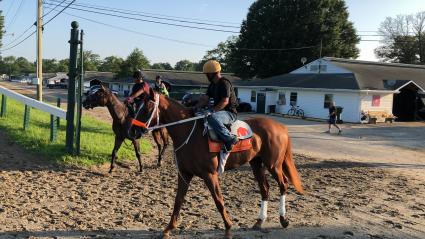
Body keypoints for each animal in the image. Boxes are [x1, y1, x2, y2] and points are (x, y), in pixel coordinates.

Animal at [137, 89, 304, 237]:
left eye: (147, 107)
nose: (134, 130)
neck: (188, 132)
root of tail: (281, 127)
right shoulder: (184, 174)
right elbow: (178, 200)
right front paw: (168, 228)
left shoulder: (210, 175)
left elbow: (218, 200)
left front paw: (228, 228)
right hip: (256, 163)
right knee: (265, 189)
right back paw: (259, 221)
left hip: (273, 165)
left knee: (283, 185)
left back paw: (283, 219)